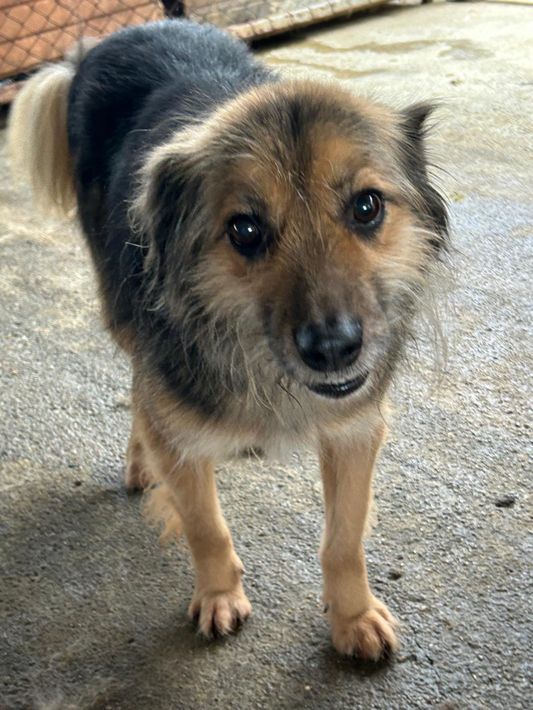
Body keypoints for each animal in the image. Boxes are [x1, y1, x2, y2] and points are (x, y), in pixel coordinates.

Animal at [8, 19, 448, 660]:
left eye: (366, 206)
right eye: (245, 229)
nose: (334, 348)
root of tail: (102, 43)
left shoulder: (356, 428)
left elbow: (344, 541)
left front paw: (353, 616)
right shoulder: (179, 423)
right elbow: (205, 527)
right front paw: (219, 595)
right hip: (120, 308)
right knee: (138, 390)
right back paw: (140, 460)